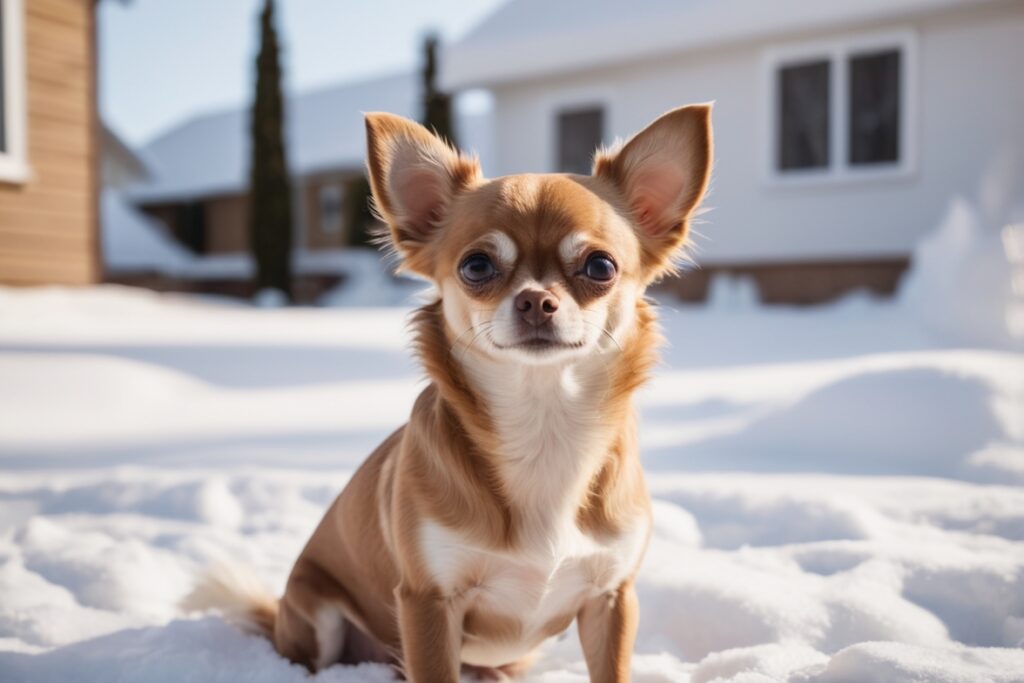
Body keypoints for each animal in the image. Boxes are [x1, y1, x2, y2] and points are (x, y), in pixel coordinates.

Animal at [184, 104, 712, 679]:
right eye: (476, 265)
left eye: (601, 266)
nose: (535, 301)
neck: (543, 425)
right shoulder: (428, 601)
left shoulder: (611, 598)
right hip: (314, 610)